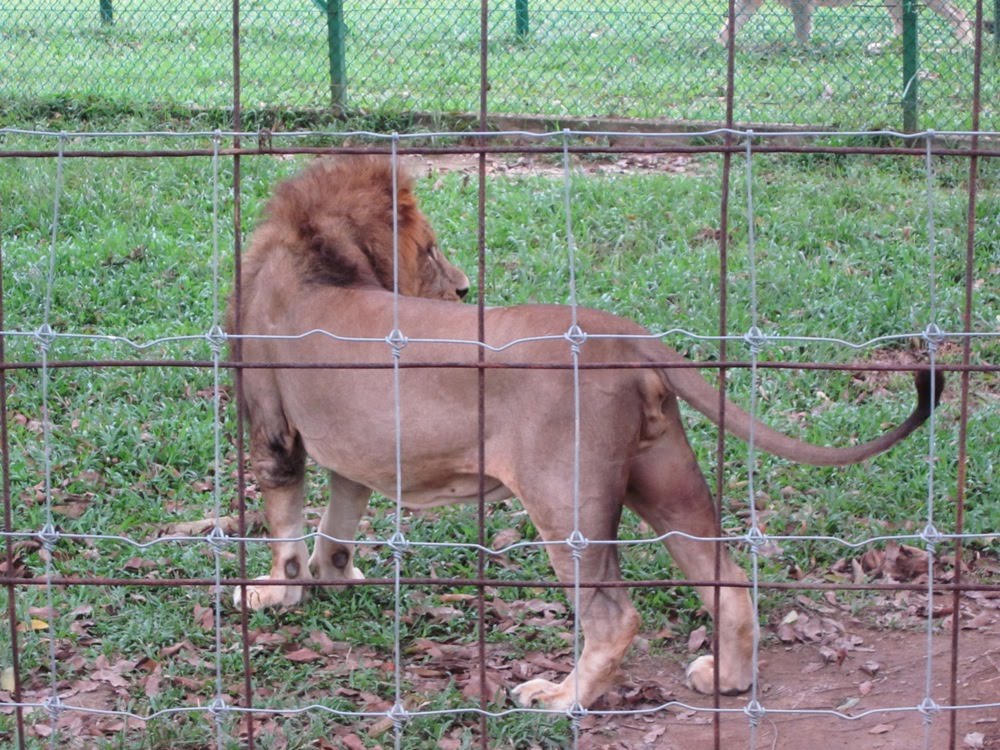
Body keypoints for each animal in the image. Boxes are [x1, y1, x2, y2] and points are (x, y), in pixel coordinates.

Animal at [230, 157, 940, 712]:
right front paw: (335, 577)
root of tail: (622, 334)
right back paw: (727, 680)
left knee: (614, 615)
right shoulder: (353, 447)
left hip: (564, 500)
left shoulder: (273, 432)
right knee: (729, 577)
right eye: (432, 250)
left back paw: (560, 698)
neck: (320, 260)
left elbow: (287, 527)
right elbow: (338, 520)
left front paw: (274, 593)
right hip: (663, 476)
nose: (463, 287)